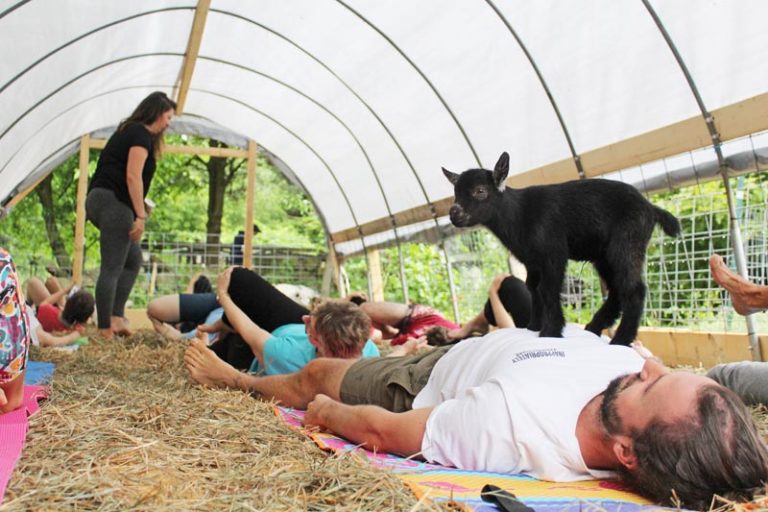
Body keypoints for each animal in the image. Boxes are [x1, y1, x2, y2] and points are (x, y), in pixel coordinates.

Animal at [440, 150, 680, 346]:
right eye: (455, 193)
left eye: (480, 191)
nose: (454, 213)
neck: (519, 214)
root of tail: (651, 208)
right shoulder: (532, 261)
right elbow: (533, 287)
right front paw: (533, 326)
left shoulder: (553, 251)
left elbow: (547, 289)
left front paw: (550, 331)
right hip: (604, 256)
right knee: (616, 290)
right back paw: (594, 327)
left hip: (626, 243)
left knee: (633, 289)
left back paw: (620, 340)